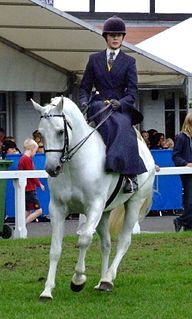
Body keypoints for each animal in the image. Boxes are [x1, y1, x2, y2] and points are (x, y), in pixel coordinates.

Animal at [30, 97, 155, 300]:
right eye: (40, 133)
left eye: (60, 131)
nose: (52, 168)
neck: (75, 165)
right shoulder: (57, 209)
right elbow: (55, 249)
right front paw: (47, 291)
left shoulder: (93, 207)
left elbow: (84, 239)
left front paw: (78, 280)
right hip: (105, 212)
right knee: (106, 244)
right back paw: (101, 282)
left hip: (133, 204)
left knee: (124, 241)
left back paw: (108, 279)